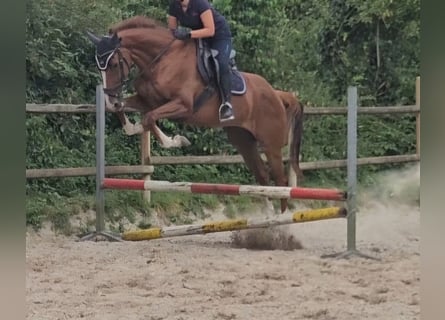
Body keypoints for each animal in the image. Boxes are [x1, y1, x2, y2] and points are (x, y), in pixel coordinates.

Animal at [86, 16, 302, 212]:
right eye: (98, 66)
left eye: (114, 64)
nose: (111, 98)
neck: (162, 60)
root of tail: (278, 94)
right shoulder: (147, 101)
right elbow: (128, 112)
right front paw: (133, 126)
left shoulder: (183, 105)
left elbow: (149, 117)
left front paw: (176, 141)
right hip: (243, 141)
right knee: (263, 176)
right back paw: (268, 217)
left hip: (271, 145)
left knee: (281, 181)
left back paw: (282, 222)